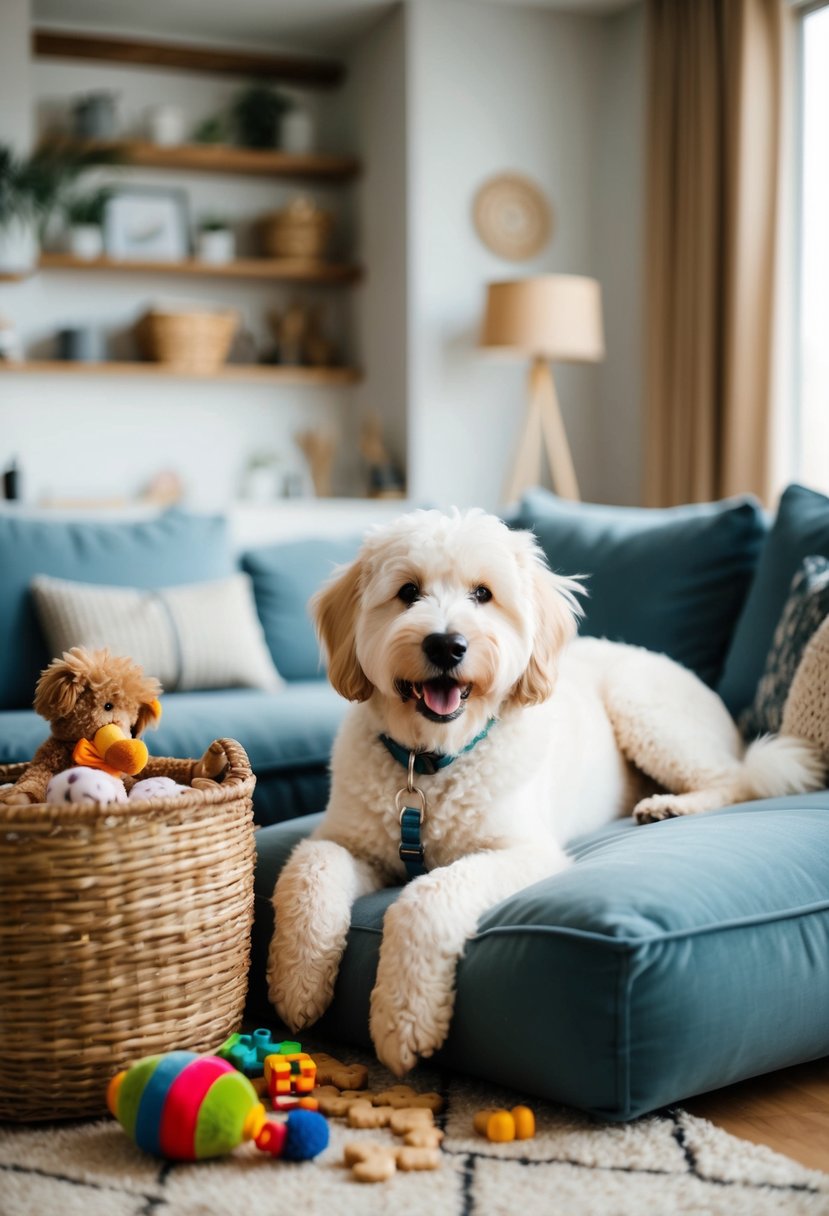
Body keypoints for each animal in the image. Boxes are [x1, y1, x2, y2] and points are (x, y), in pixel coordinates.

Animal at [267, 510, 821, 1074]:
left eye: (483, 594)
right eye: (407, 592)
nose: (446, 645)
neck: (431, 764)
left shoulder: (523, 852)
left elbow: (428, 895)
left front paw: (404, 1018)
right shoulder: (347, 841)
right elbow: (309, 873)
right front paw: (297, 981)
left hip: (643, 706)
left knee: (736, 781)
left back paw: (671, 805)